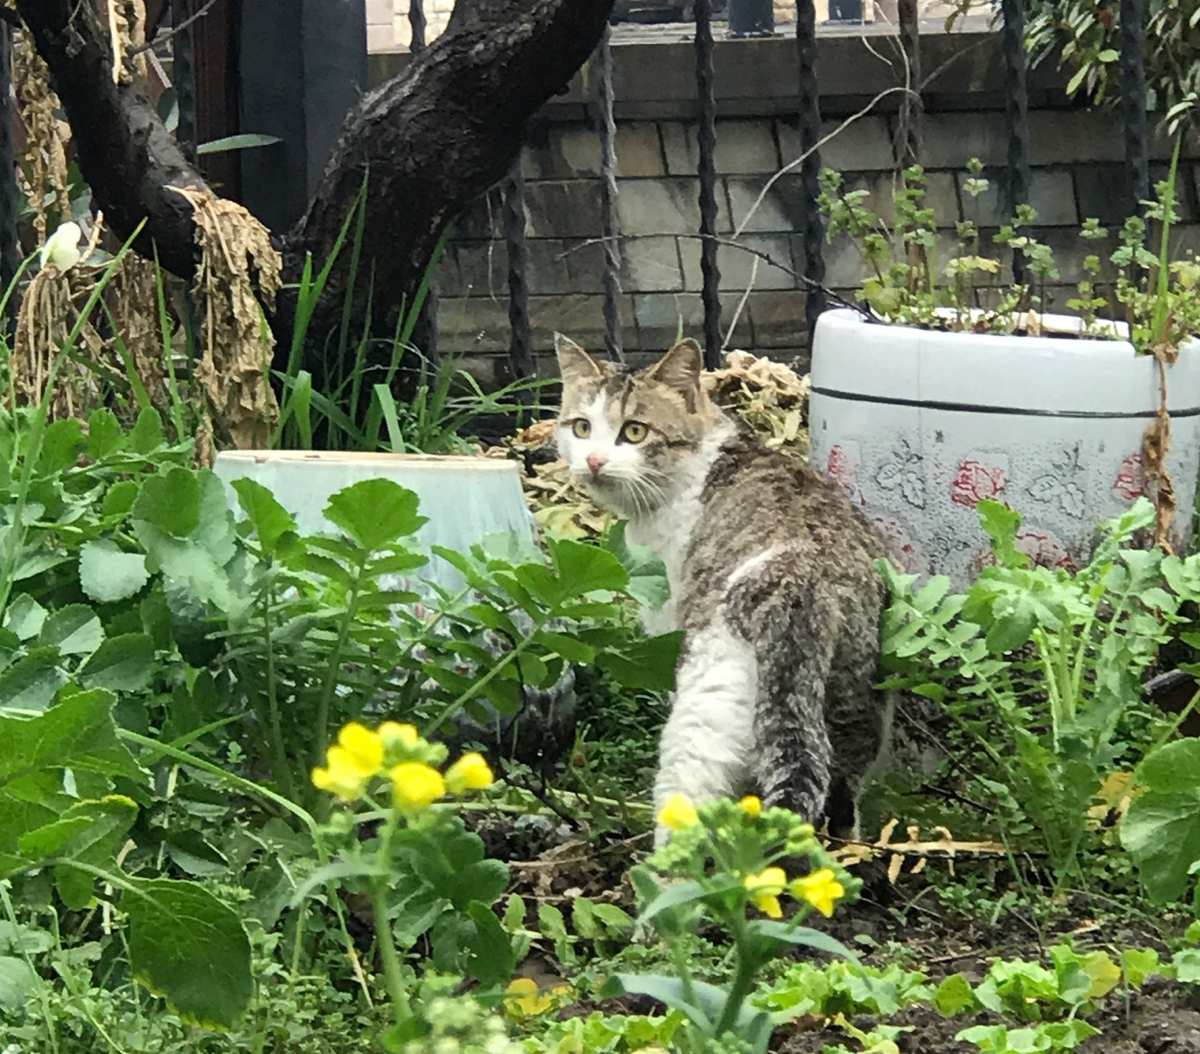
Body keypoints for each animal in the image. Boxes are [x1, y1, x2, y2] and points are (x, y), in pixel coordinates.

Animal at [554, 333, 892, 845]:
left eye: (634, 432)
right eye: (580, 426)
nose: (593, 461)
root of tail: (800, 582)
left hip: (704, 712)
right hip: (853, 699)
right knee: (840, 790)